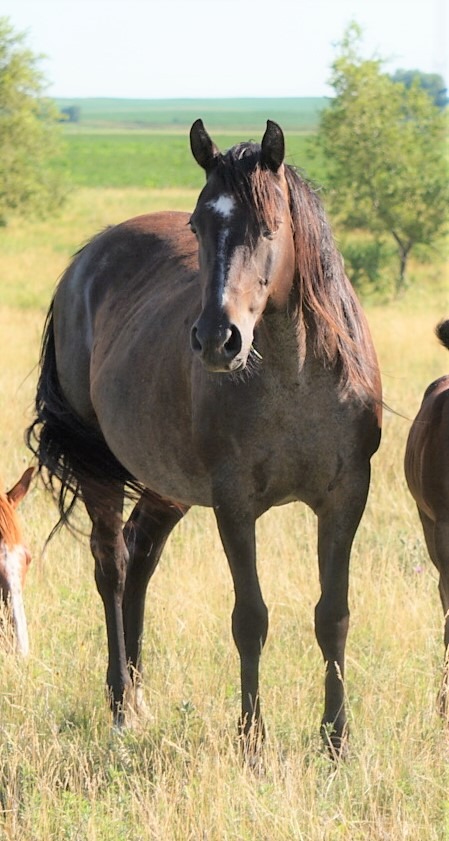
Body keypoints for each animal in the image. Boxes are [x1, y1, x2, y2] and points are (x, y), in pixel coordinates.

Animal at [26, 120, 380, 756]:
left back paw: (140, 699)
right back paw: (121, 706)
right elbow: (251, 618)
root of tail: (84, 262)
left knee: (141, 555)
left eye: (270, 225)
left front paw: (336, 740)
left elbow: (333, 615)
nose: (219, 339)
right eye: (197, 225)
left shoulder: (346, 497)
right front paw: (252, 740)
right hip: (99, 468)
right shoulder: (234, 504)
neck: (295, 376)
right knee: (112, 565)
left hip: (166, 486)